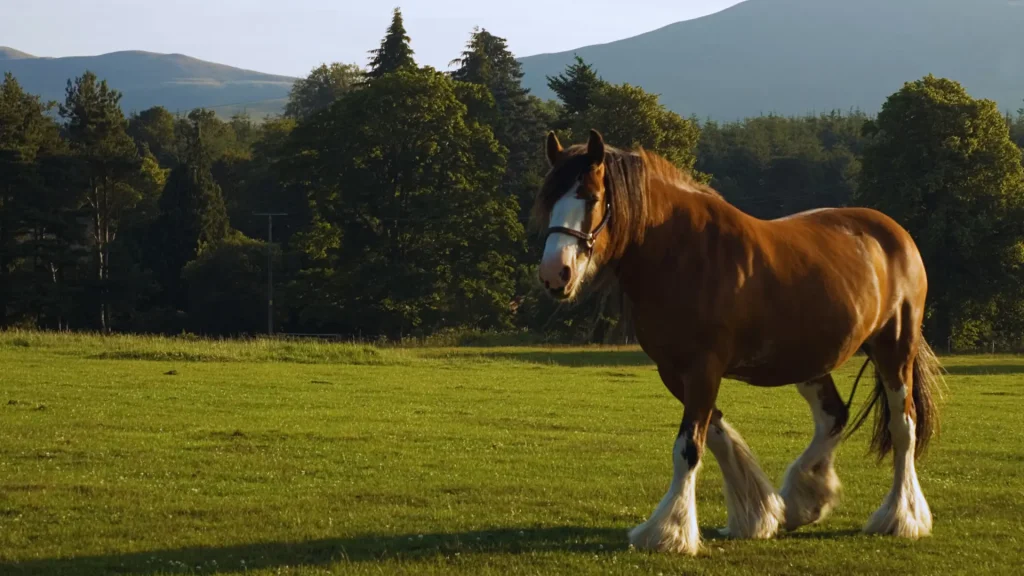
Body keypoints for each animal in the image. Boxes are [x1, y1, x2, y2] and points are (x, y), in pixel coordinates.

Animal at [532, 129, 944, 555]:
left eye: (591, 197)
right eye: (547, 199)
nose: (555, 273)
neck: (681, 253)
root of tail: (896, 233)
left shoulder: (703, 369)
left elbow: (689, 448)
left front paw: (669, 531)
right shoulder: (675, 372)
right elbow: (714, 434)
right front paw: (756, 512)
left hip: (894, 351)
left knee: (903, 426)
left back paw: (901, 517)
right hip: (810, 362)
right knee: (833, 416)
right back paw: (804, 499)